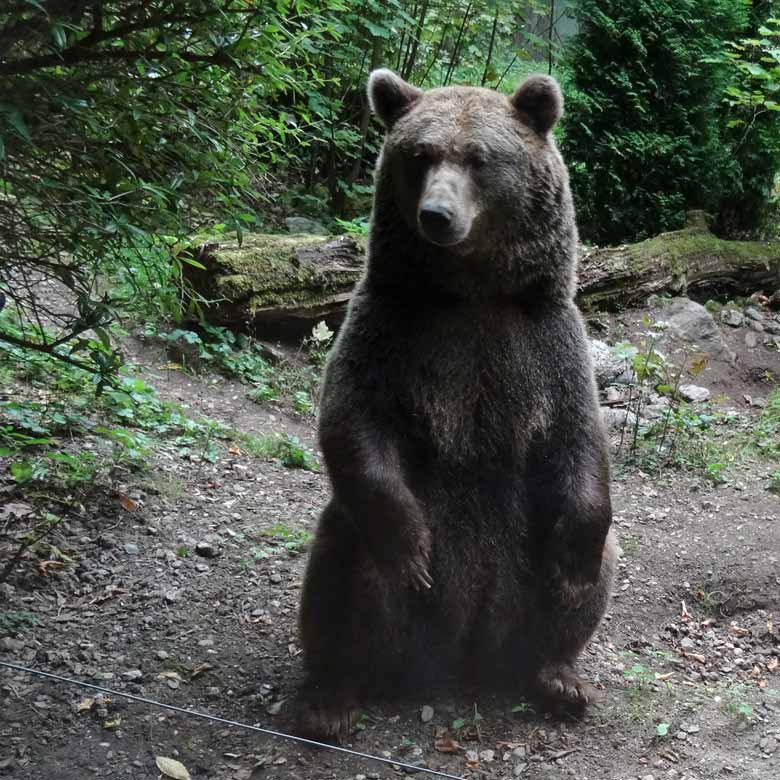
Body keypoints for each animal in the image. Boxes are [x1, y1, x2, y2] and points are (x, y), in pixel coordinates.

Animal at [296, 68, 620, 744]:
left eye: (478, 157)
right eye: (420, 156)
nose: (437, 214)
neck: (470, 293)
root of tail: (462, 654)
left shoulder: (544, 343)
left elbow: (579, 438)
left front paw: (576, 564)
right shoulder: (392, 330)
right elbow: (354, 419)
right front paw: (412, 551)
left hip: (524, 560)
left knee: (588, 569)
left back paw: (558, 676)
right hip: (385, 595)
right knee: (342, 568)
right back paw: (332, 694)